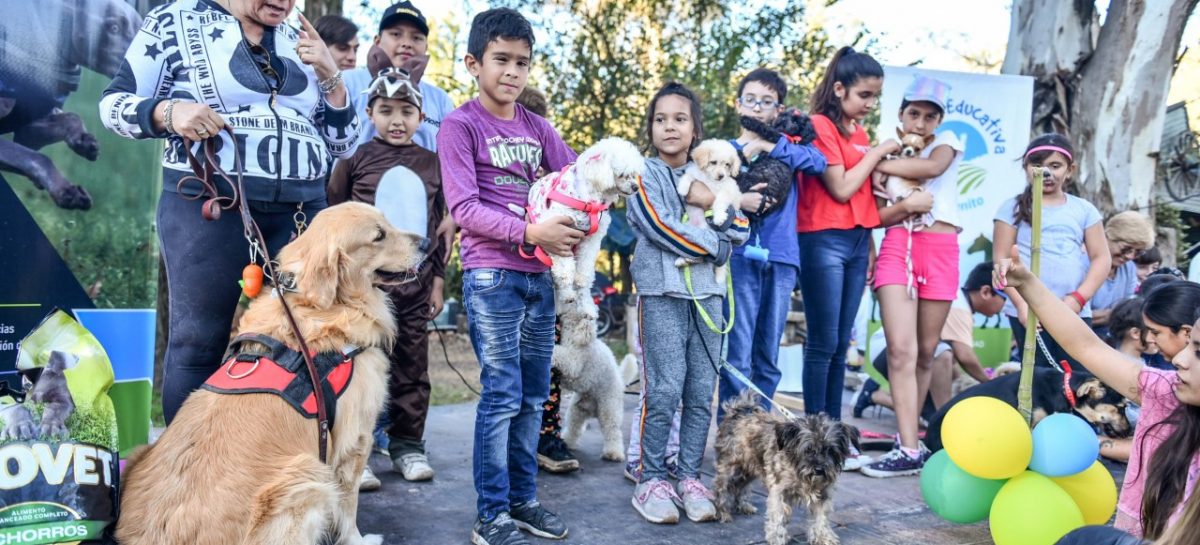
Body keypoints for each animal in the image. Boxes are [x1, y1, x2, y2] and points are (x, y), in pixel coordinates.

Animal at [715, 391, 859, 545]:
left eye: (831, 450)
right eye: (808, 449)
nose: (819, 470)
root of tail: (739, 413)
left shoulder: (823, 494)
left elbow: (822, 517)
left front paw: (823, 536)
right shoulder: (780, 492)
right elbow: (779, 516)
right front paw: (777, 537)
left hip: (749, 470)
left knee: (740, 487)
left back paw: (743, 506)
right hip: (730, 468)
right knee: (721, 487)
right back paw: (722, 512)